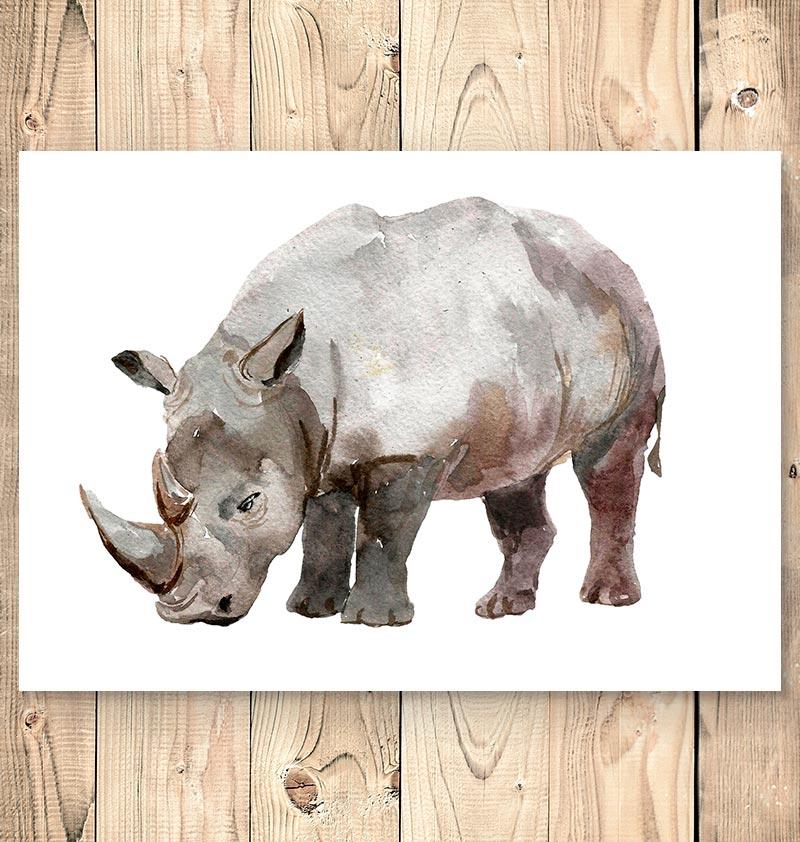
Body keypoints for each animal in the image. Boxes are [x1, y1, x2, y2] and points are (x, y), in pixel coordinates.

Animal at [81, 197, 664, 627]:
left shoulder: (407, 449)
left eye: (249, 504)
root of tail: (603, 253)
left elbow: (385, 528)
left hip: (633, 323)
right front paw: (309, 611)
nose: (188, 614)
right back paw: (500, 609)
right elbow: (323, 522)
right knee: (515, 469)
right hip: (537, 345)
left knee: (606, 460)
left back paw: (606, 601)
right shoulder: (317, 446)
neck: (296, 382)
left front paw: (371, 622)